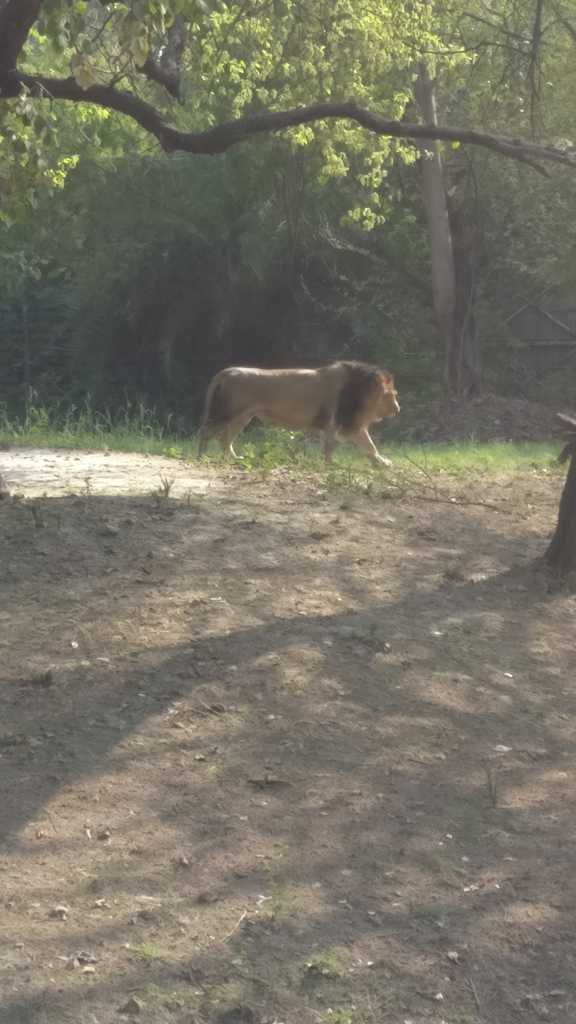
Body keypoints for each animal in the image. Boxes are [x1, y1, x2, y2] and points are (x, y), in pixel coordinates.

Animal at [196, 360, 399, 468]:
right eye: (389, 395)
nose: (398, 409)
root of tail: (226, 372)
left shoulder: (350, 424)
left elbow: (369, 446)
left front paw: (382, 463)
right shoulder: (338, 422)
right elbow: (334, 447)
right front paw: (330, 465)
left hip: (242, 417)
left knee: (225, 439)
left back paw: (232, 459)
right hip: (226, 413)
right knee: (206, 432)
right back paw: (201, 457)